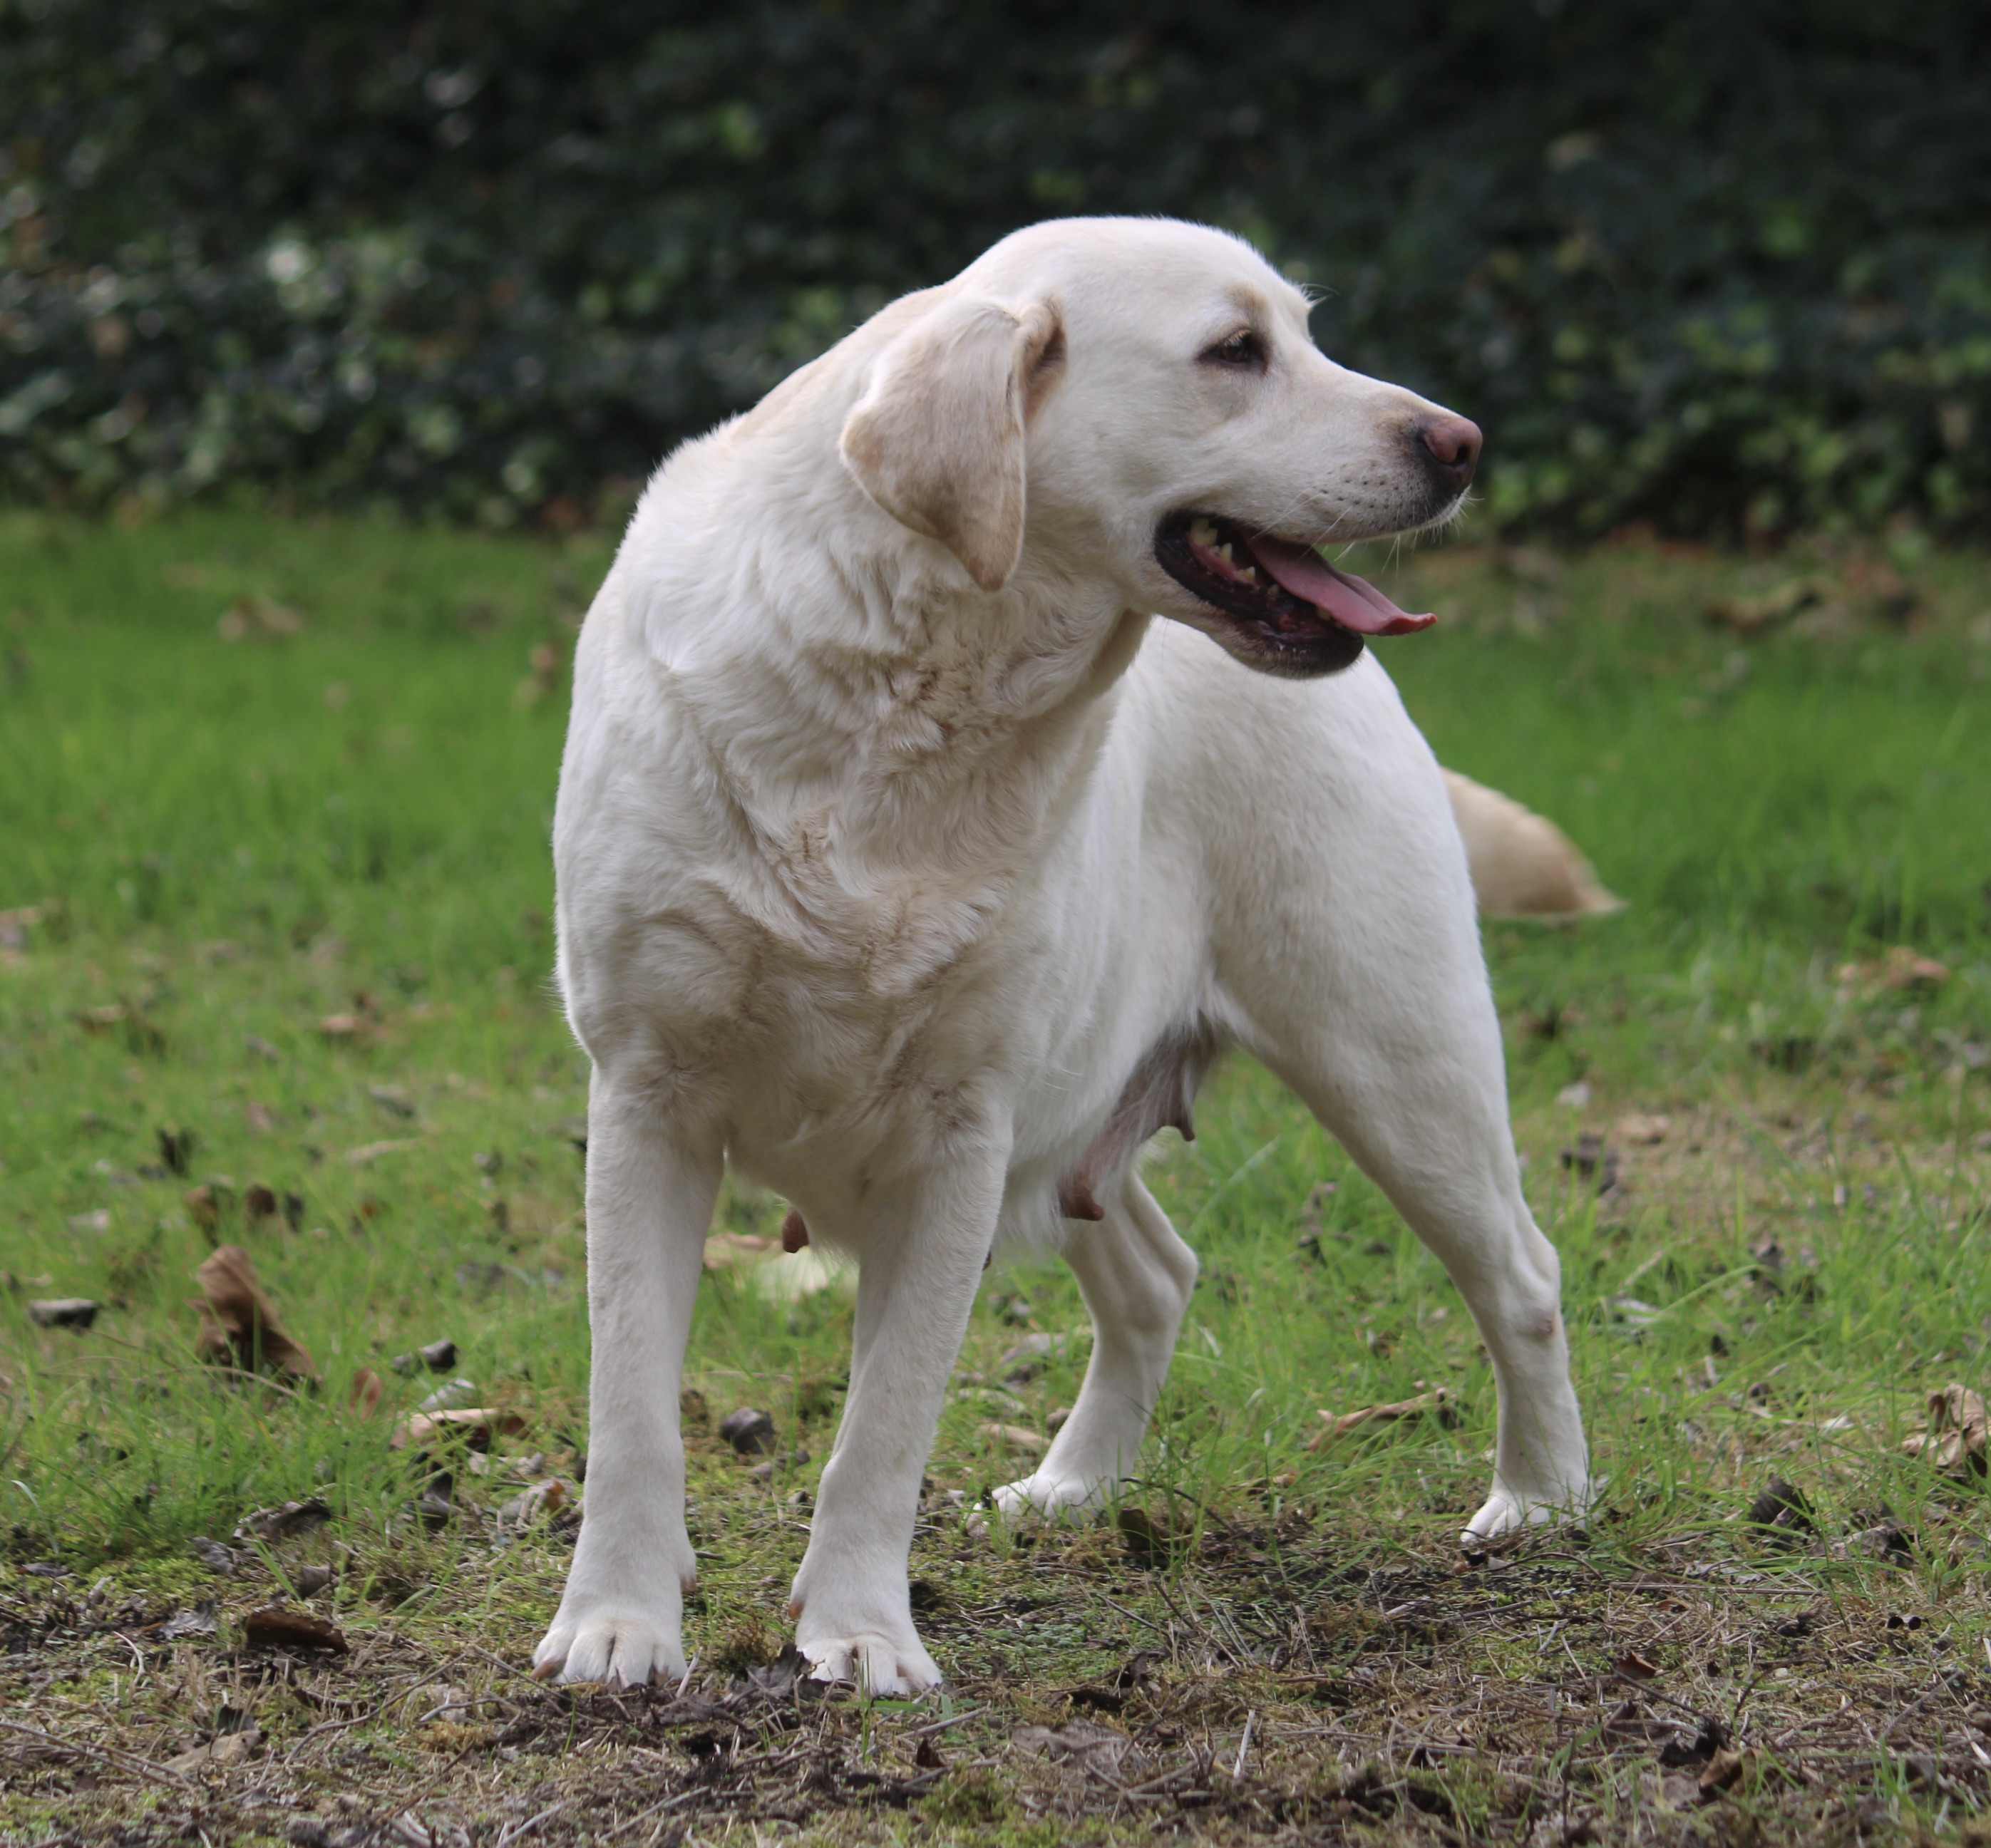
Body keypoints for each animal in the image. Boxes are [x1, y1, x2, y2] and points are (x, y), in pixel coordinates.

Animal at [537, 212, 1593, 1688]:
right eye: (1234, 350)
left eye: (1304, 330)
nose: (1461, 442)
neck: (904, 706)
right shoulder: (649, 1097)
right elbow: (631, 1400)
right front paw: (618, 1625)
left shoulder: (956, 1132)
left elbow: (883, 1427)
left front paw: (859, 1631)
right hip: (1092, 1118)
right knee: (1157, 1276)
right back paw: (1074, 1487)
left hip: (1394, 1065)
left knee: (1520, 1277)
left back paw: (1540, 1496)